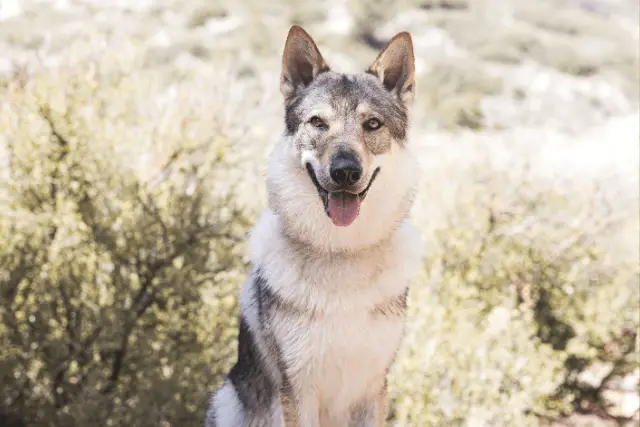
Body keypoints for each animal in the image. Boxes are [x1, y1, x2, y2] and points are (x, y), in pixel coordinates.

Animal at [206, 25, 424, 427]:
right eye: (318, 122)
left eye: (372, 124)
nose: (345, 171)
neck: (342, 253)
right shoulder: (298, 390)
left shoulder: (373, 387)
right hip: (227, 400)